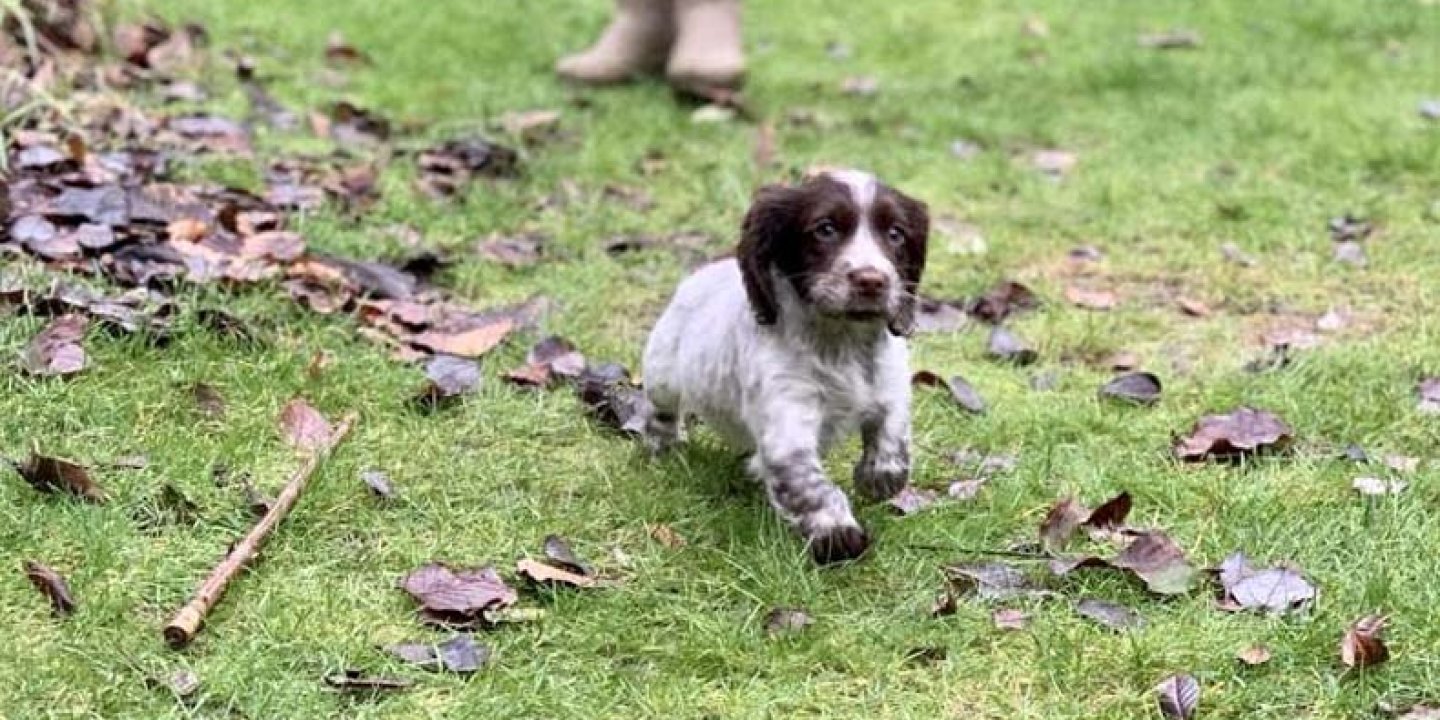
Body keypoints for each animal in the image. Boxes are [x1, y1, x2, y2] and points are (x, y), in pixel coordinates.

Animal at [645, 168, 933, 561]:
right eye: (825, 229)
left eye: (895, 234)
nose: (872, 280)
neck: (841, 339)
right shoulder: (788, 417)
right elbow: (809, 483)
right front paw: (836, 534)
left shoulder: (891, 382)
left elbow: (893, 435)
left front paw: (878, 479)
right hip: (661, 370)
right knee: (663, 411)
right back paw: (666, 445)